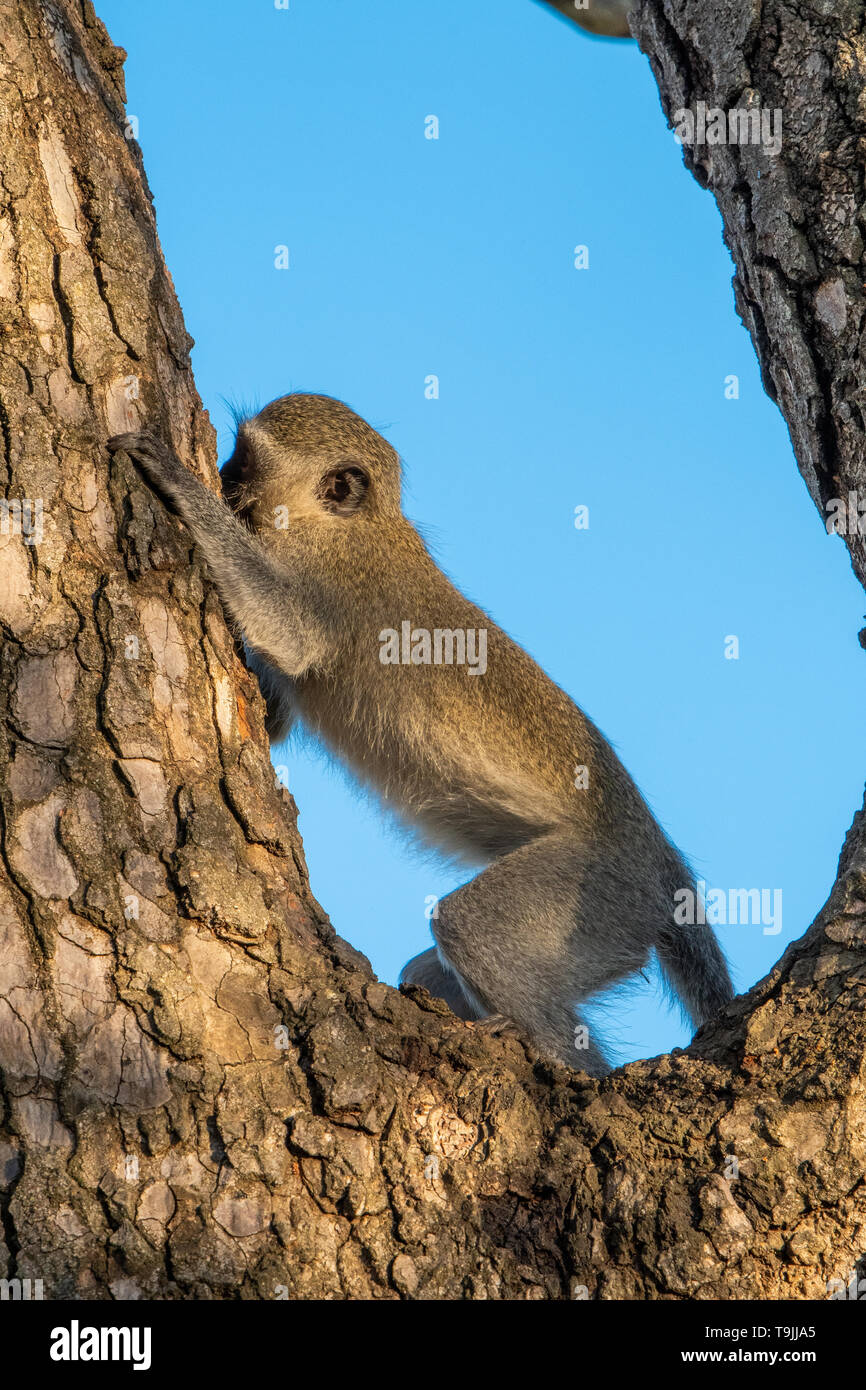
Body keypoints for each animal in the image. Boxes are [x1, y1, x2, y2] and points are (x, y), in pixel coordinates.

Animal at [107, 397, 733, 1078]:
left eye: (244, 462)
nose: (222, 478)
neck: (348, 527)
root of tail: (660, 858)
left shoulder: (328, 582)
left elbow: (290, 632)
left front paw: (177, 481)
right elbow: (271, 717)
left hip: (605, 889)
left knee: (472, 929)